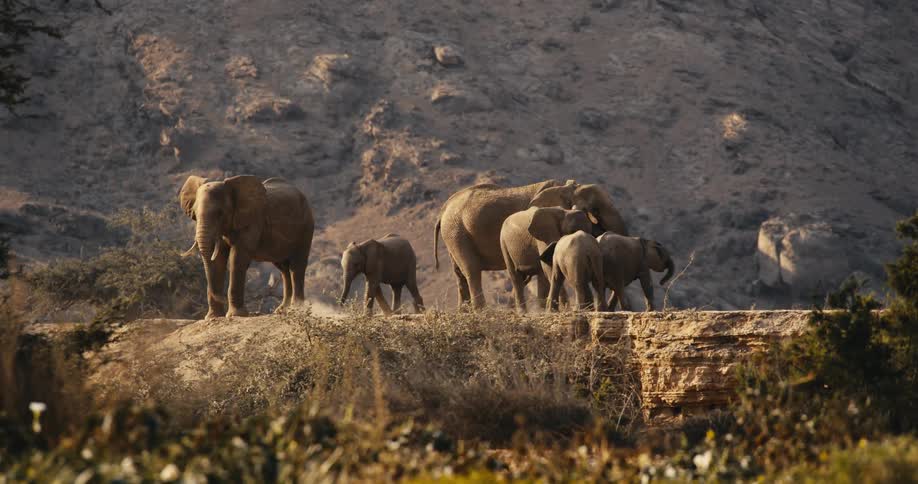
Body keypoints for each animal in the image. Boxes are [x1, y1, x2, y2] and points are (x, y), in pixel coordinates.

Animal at [179, 175, 315, 319]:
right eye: (194, 213)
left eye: (220, 213)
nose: (222, 297)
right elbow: (218, 260)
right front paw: (213, 317)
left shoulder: (252, 221)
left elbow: (237, 259)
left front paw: (236, 315)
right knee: (283, 268)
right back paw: (283, 310)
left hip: (306, 227)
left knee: (297, 265)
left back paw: (296, 309)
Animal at [434, 179, 627, 309]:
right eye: (595, 210)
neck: (565, 187)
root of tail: (444, 208)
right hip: (457, 232)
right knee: (472, 271)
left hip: (454, 234)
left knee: (460, 275)